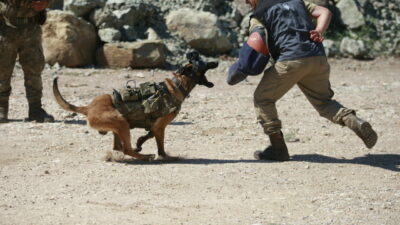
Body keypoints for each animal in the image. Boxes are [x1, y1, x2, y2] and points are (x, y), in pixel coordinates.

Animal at [53, 52, 219, 161]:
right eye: (204, 63)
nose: (217, 61)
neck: (177, 85)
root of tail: (88, 107)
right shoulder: (161, 126)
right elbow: (158, 143)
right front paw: (164, 156)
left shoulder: (156, 125)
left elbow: (149, 134)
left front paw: (140, 142)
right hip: (121, 122)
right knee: (126, 149)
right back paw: (145, 156)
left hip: (118, 126)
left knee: (118, 147)